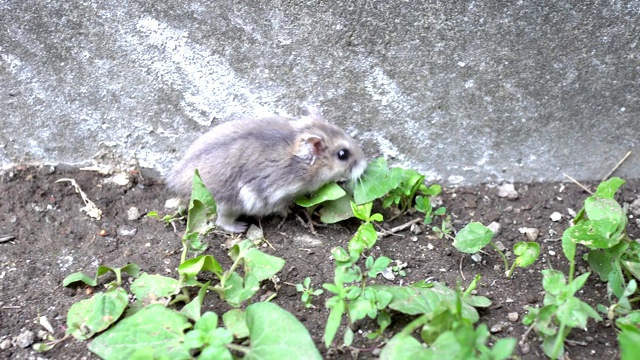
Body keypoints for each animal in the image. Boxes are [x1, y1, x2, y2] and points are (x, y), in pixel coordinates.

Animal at [166, 109, 364, 232]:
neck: (302, 163)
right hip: (226, 205)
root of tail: (176, 188)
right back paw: (241, 227)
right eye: (343, 154)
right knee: (222, 221)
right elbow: (282, 207)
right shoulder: (278, 194)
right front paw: (291, 211)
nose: (364, 165)